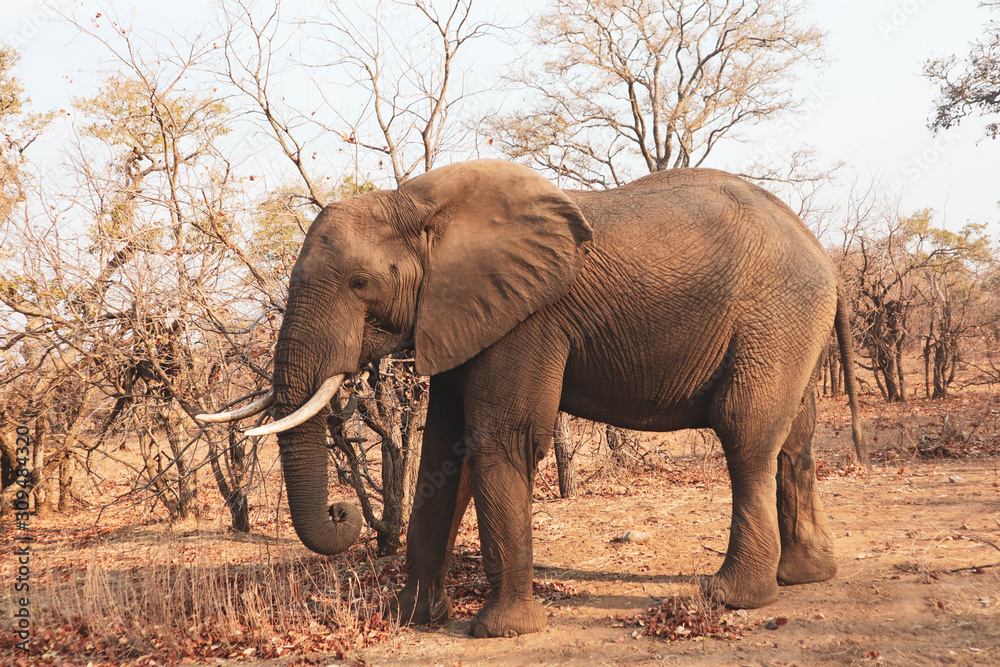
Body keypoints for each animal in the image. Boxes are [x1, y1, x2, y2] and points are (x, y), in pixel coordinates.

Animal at [198, 159, 863, 639]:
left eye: (361, 283)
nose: (343, 512)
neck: (416, 204)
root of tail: (823, 253)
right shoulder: (458, 314)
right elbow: (446, 448)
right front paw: (412, 618)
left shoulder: (527, 318)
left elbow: (504, 439)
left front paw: (501, 632)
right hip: (791, 325)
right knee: (794, 443)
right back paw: (804, 577)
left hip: (773, 316)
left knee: (745, 431)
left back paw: (730, 597)